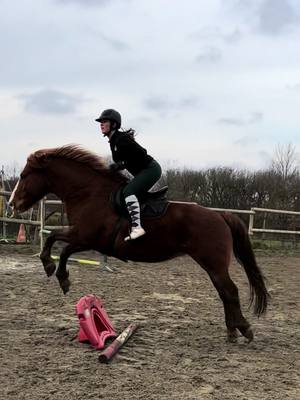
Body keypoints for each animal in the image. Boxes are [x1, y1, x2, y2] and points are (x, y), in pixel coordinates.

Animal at [9, 145, 270, 342]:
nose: (13, 203)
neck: (89, 194)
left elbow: (57, 243)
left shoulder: (85, 237)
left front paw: (56, 272)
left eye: (24, 176)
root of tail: (219, 215)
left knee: (230, 291)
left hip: (213, 263)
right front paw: (57, 273)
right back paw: (232, 331)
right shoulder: (87, 240)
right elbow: (59, 245)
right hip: (212, 265)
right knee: (224, 293)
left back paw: (243, 329)